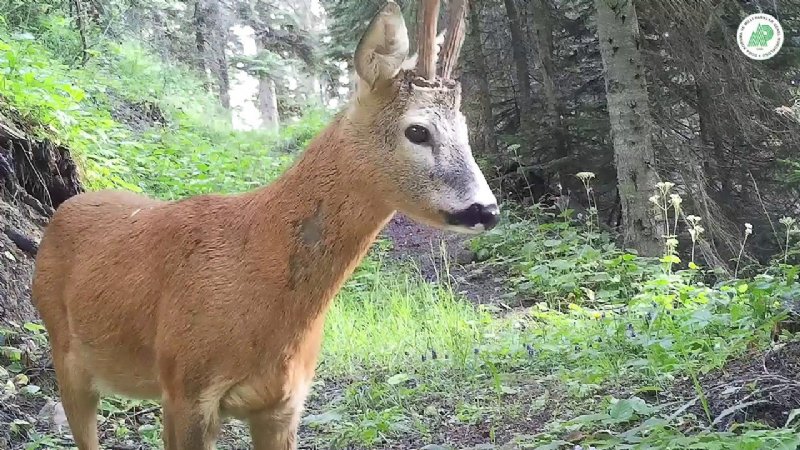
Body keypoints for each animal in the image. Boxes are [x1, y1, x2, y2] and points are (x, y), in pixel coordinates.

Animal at [32, 1, 500, 448]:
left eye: (465, 129)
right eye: (417, 131)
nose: (487, 210)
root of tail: (63, 209)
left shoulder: (283, 403)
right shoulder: (185, 390)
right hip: (63, 351)